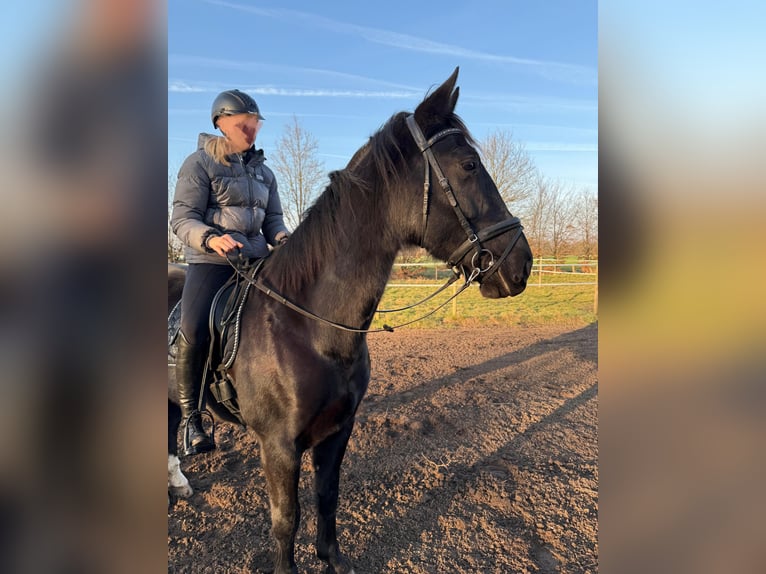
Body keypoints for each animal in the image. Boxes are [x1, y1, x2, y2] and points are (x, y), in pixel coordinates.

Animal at [168, 68, 533, 574]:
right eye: (468, 166)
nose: (522, 264)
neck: (311, 330)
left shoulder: (338, 431)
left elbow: (327, 497)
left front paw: (332, 558)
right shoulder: (278, 446)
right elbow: (286, 519)